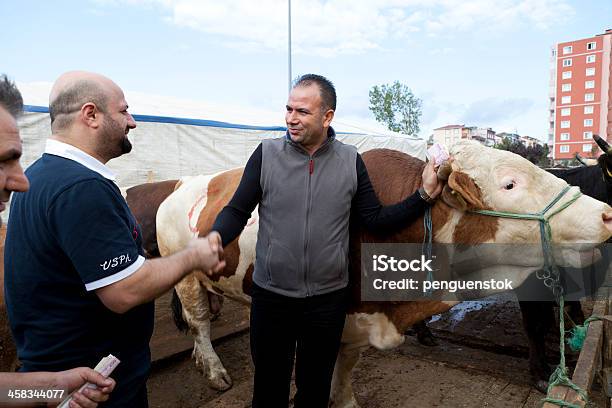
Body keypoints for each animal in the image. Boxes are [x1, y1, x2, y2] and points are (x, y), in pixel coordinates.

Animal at [155, 140, 608, 404]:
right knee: (199, 322)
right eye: (510, 184)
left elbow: (345, 368)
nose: (605, 213)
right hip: (186, 277)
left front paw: (345, 400)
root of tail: (178, 187)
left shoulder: (356, 320)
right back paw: (213, 369)